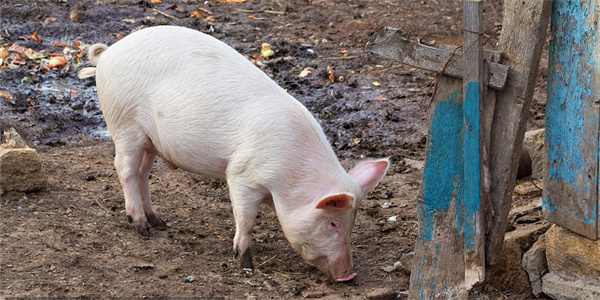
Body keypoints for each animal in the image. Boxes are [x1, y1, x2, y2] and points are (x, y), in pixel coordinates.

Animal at [79, 25, 390, 282]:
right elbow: (246, 220)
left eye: (352, 224)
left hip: (151, 140)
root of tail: (108, 54)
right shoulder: (242, 176)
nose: (349, 275)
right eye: (333, 222)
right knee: (125, 169)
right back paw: (141, 227)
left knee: (143, 173)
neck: (288, 181)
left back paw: (160, 223)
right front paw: (245, 265)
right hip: (125, 124)